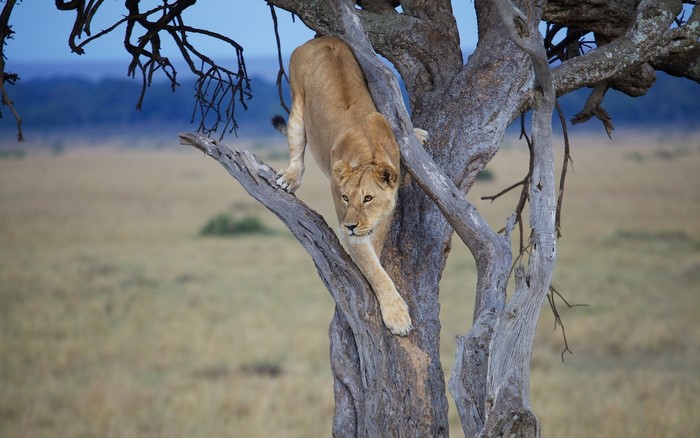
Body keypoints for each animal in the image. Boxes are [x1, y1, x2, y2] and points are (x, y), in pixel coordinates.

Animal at [274, 36, 427, 336]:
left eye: (368, 198)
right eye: (345, 198)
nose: (351, 225)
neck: (368, 154)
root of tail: (320, 39)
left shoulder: (383, 217)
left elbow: (375, 254)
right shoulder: (351, 230)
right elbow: (376, 272)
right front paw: (398, 317)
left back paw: (417, 133)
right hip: (298, 106)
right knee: (297, 150)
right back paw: (290, 177)